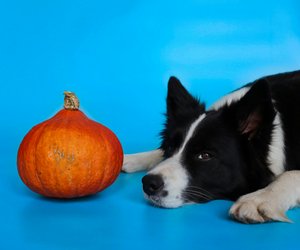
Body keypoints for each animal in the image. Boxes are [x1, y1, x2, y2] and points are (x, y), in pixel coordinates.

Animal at [121, 70, 300, 223]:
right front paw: (131, 158)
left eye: (205, 155)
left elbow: (290, 174)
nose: (148, 183)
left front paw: (259, 199)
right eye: (171, 147)